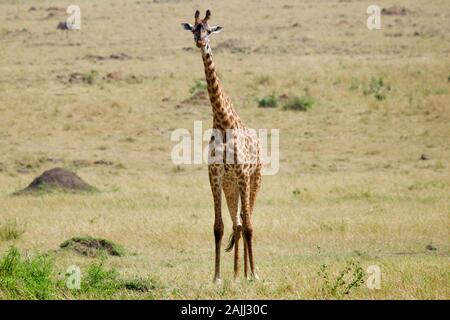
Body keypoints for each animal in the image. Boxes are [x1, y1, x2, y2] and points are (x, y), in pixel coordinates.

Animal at [181, 9, 262, 282]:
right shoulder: (215, 175)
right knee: (236, 223)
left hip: (254, 180)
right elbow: (218, 227)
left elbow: (249, 226)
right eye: (194, 28)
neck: (224, 121)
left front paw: (255, 276)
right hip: (230, 187)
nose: (200, 42)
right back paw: (237, 275)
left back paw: (247, 273)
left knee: (247, 221)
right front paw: (217, 277)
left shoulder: (243, 174)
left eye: (209, 29)